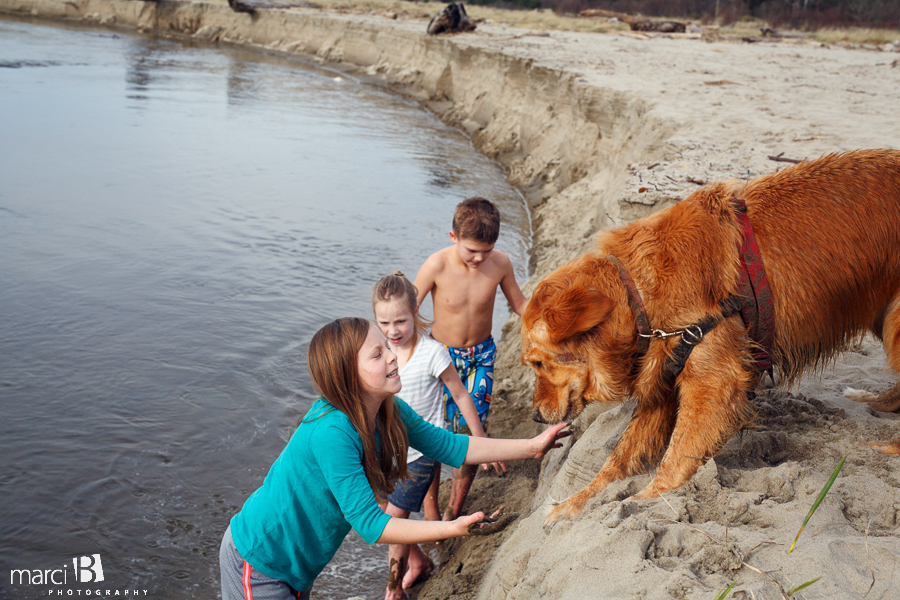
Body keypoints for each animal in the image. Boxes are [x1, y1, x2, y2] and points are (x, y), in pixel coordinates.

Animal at [520, 149, 900, 520]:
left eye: (537, 363)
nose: (535, 416)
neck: (637, 292)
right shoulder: (662, 382)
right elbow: (617, 459)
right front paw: (576, 503)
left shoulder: (712, 383)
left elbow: (676, 458)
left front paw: (645, 499)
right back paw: (871, 401)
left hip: (895, 324)